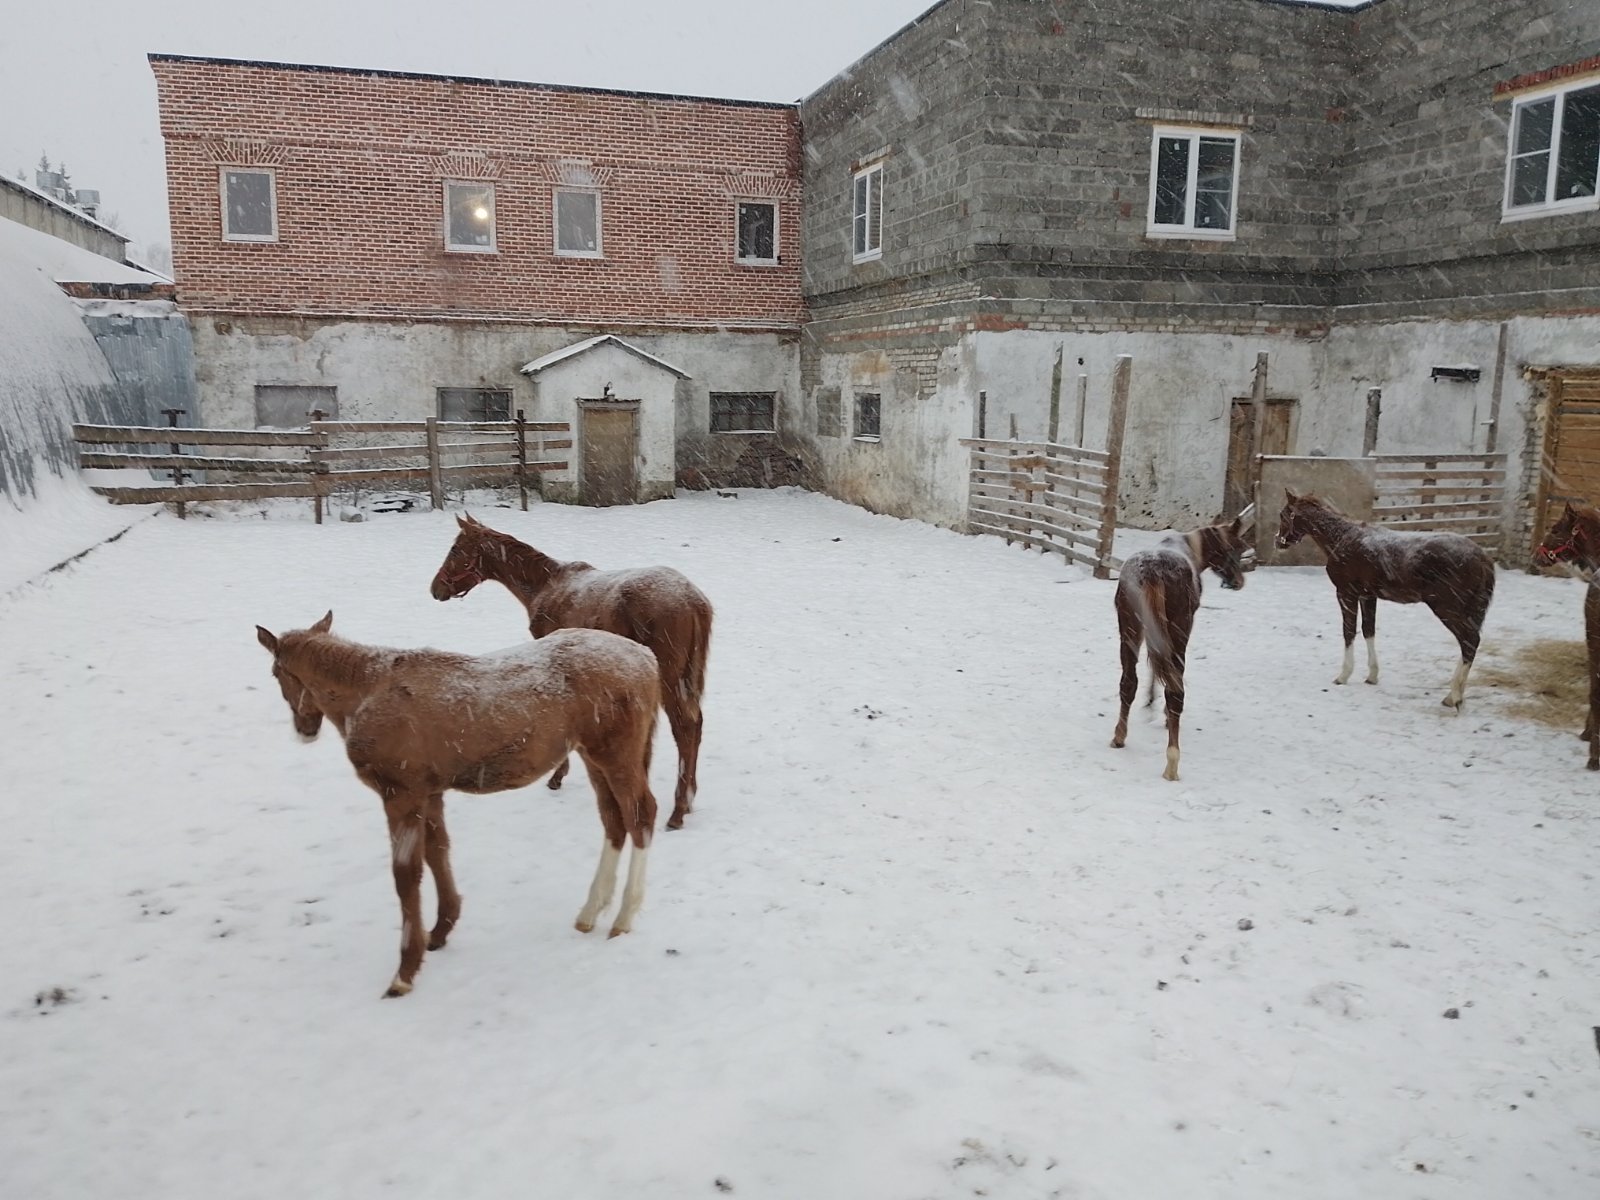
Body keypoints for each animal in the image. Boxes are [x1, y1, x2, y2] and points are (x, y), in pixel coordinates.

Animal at [254, 611, 662, 997]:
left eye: (277, 673)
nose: (304, 729)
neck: (367, 694)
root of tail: (647, 659)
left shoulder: (401, 794)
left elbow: (406, 875)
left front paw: (405, 972)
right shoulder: (431, 793)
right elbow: (438, 854)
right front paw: (439, 931)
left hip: (616, 754)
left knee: (641, 814)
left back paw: (624, 917)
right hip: (592, 756)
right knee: (613, 819)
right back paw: (591, 910)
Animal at [430, 514, 711, 831]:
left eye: (455, 549)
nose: (435, 588)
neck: (542, 586)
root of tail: (693, 600)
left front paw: (556, 776)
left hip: (670, 679)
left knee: (684, 728)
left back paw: (678, 811)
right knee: (695, 725)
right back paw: (688, 800)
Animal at [1111, 517, 1248, 781]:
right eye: (1236, 546)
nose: (1239, 581)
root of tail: (1152, 570)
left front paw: (1149, 703)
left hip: (1130, 632)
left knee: (1128, 683)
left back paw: (1119, 737)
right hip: (1176, 632)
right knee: (1176, 693)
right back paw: (1172, 763)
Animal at [1276, 489, 1495, 709]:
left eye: (1283, 514)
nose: (1278, 542)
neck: (1341, 537)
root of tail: (1483, 557)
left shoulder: (1346, 593)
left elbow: (1349, 632)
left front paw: (1343, 676)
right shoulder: (1368, 596)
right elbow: (1368, 630)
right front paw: (1372, 676)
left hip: (1446, 608)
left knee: (1469, 641)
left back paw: (1454, 696)